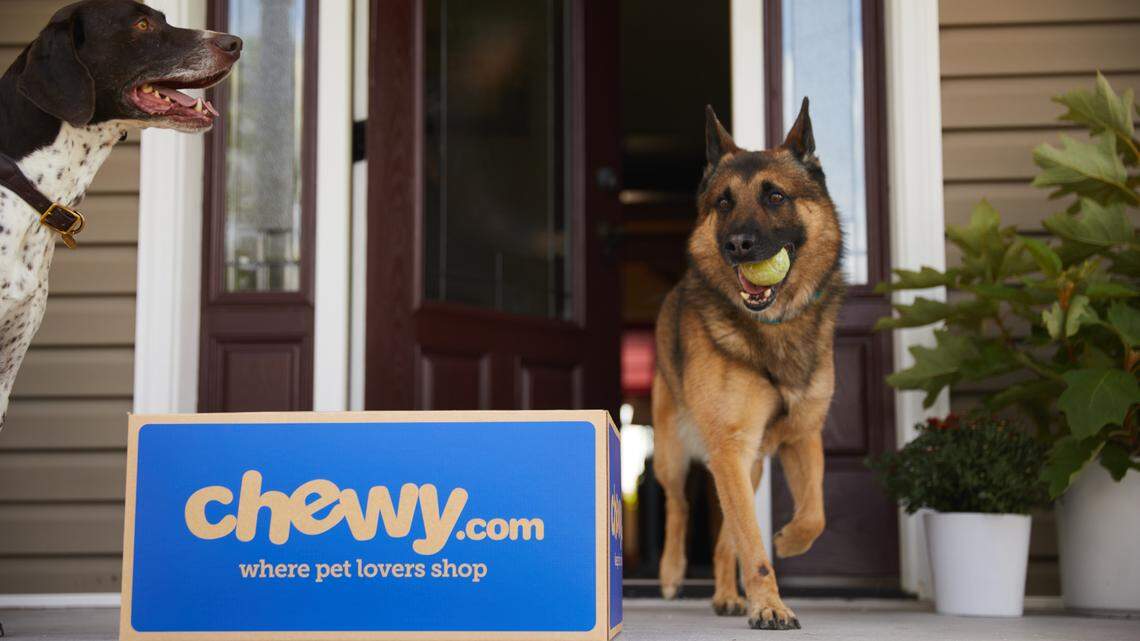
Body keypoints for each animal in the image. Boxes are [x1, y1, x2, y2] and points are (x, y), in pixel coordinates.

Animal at [652, 99, 844, 630]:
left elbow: (814, 514)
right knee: (678, 505)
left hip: (750, 465)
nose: (737, 244)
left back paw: (726, 594)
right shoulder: (730, 448)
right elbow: (750, 545)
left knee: (725, 538)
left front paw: (788, 542)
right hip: (674, 450)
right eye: (723, 203)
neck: (774, 326)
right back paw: (672, 572)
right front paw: (769, 605)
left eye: (775, 196)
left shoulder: (800, 436)